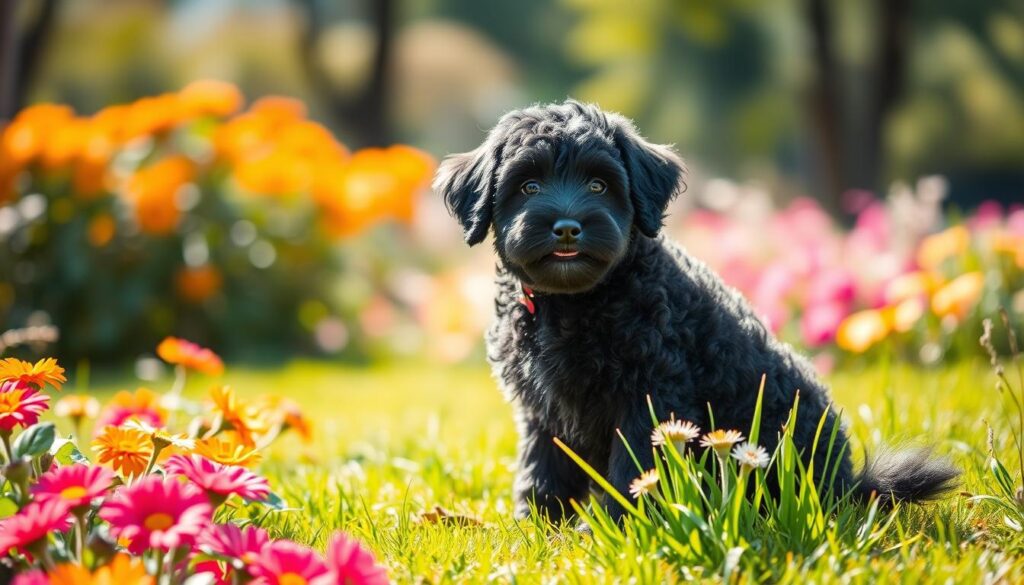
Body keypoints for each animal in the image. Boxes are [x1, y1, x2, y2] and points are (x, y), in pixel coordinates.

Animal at [430, 100, 950, 522]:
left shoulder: (648, 398)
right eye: (529, 185)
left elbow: (633, 472)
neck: (572, 303)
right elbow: (541, 470)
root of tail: (851, 485)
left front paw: (622, 531)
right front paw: (537, 529)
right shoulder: (542, 411)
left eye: (598, 185)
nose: (567, 228)